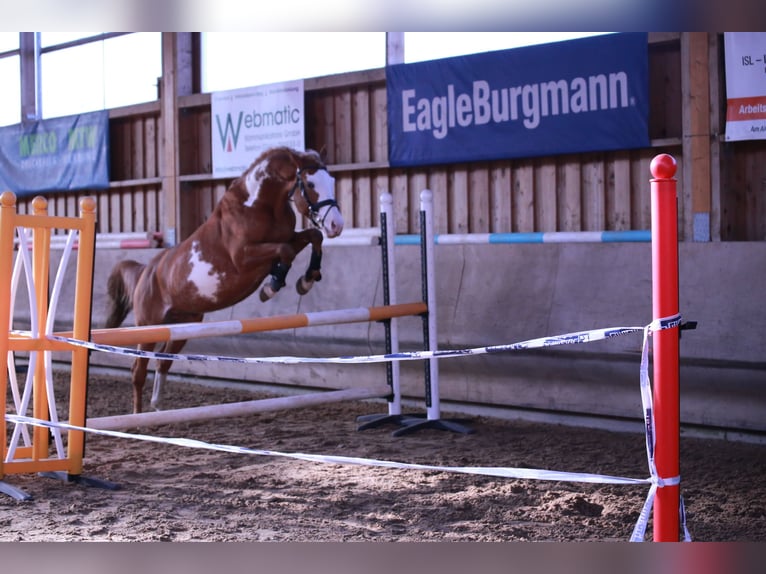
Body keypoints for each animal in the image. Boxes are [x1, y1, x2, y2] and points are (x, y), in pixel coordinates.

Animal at [104, 146, 344, 414]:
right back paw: (138, 415)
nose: (336, 225)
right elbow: (286, 251)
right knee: (138, 371)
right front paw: (271, 287)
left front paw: (306, 279)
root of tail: (147, 270)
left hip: (183, 326)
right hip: (149, 326)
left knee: (162, 363)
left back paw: (158, 409)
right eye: (310, 183)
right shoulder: (243, 258)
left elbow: (312, 237)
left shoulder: (289, 236)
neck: (259, 206)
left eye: (331, 181)